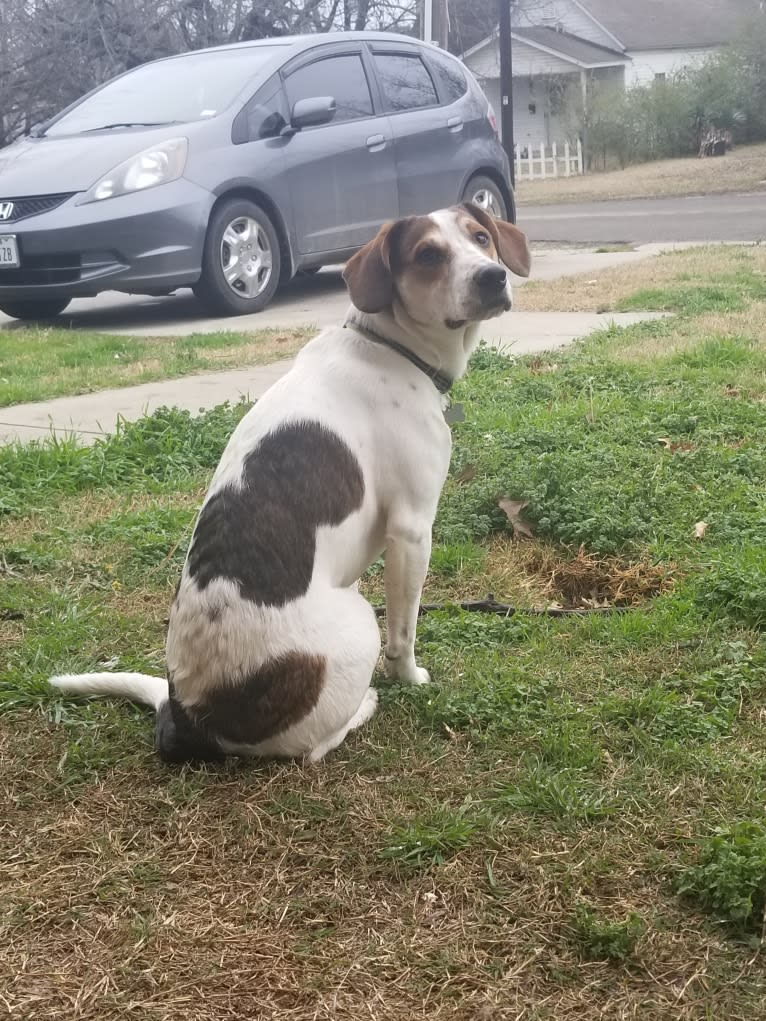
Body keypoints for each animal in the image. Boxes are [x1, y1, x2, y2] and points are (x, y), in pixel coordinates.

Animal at [51, 203, 531, 767]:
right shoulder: (412, 531)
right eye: (428, 255)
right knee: (315, 745)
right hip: (359, 618)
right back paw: (364, 705)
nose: (492, 276)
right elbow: (405, 633)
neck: (390, 346)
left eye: (481, 237)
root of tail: (190, 717)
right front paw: (410, 678)